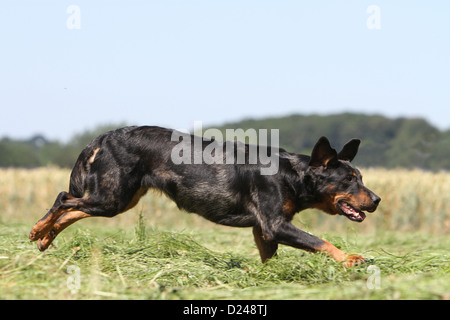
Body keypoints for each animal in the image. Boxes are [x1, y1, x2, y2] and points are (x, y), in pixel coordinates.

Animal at [29, 126, 380, 266]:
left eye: (361, 178)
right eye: (349, 180)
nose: (377, 200)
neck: (291, 173)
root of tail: (104, 136)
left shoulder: (263, 230)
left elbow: (271, 258)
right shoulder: (275, 225)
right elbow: (321, 241)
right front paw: (351, 259)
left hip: (118, 199)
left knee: (73, 209)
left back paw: (46, 238)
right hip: (112, 197)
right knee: (63, 198)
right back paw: (37, 230)